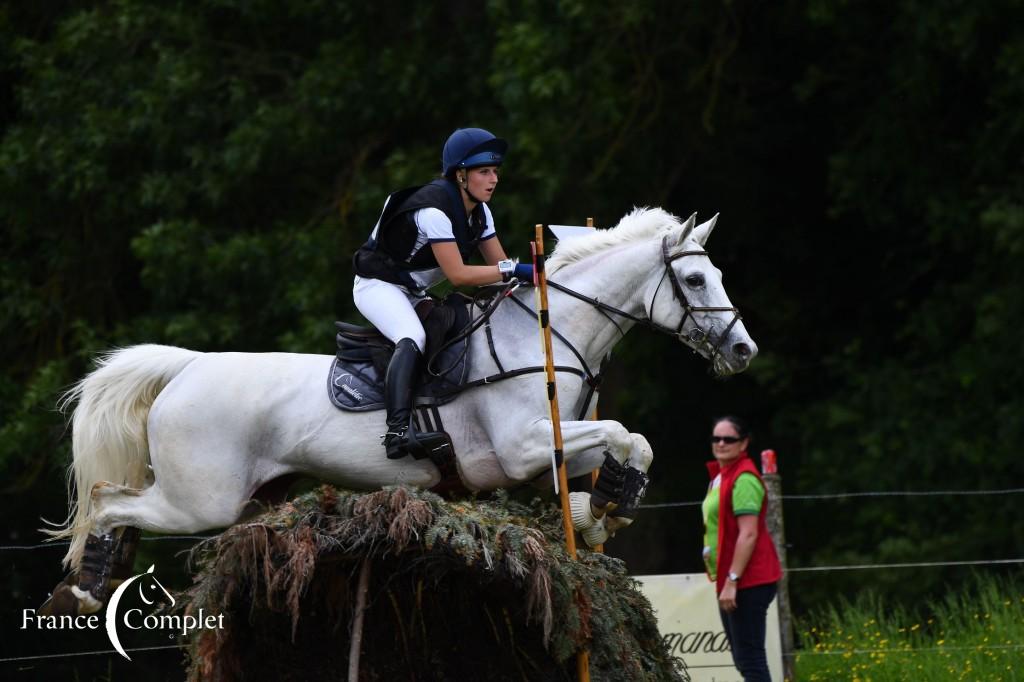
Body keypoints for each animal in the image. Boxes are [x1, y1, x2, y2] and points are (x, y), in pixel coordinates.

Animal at [44, 205, 757, 610]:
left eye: (719, 275)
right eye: (696, 279)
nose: (743, 350)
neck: (547, 334)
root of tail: (189, 366)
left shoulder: (555, 443)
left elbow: (628, 444)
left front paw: (603, 508)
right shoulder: (520, 447)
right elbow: (622, 433)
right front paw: (611, 503)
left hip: (248, 498)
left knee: (118, 503)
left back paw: (93, 582)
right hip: (201, 500)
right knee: (108, 501)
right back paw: (85, 586)